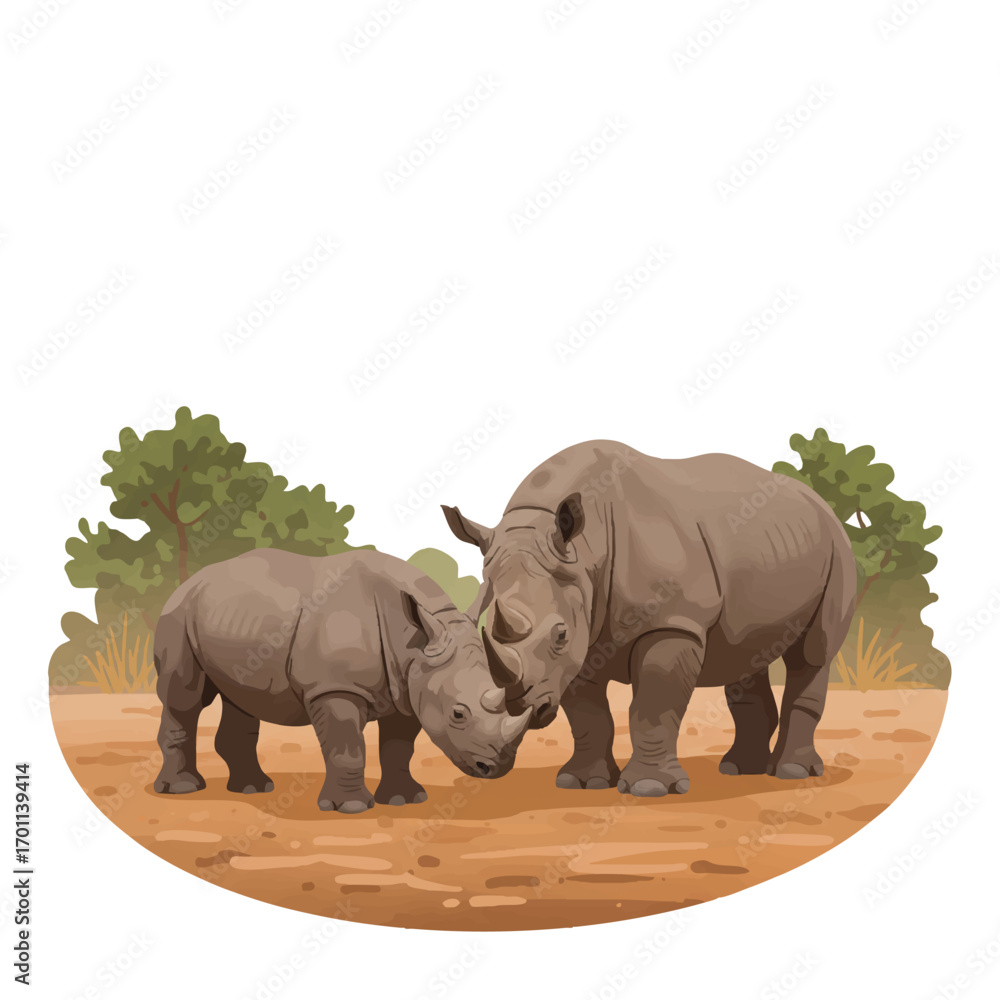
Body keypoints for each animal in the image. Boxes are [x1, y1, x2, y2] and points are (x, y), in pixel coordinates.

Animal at [152, 549, 531, 813]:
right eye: (458, 714)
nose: (497, 767)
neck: (415, 642)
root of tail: (188, 582)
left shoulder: (409, 687)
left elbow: (399, 748)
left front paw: (405, 800)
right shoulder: (336, 688)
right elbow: (347, 747)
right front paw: (350, 808)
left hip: (231, 620)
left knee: (240, 698)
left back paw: (253, 789)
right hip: (177, 614)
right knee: (183, 696)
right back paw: (183, 789)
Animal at [443, 440, 857, 798]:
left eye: (559, 636)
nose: (524, 707)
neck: (586, 550)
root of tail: (821, 505)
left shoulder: (672, 623)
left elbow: (653, 706)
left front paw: (650, 788)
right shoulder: (584, 629)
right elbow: (588, 715)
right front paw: (582, 783)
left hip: (839, 549)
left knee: (813, 655)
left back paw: (791, 773)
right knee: (744, 656)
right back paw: (738, 770)